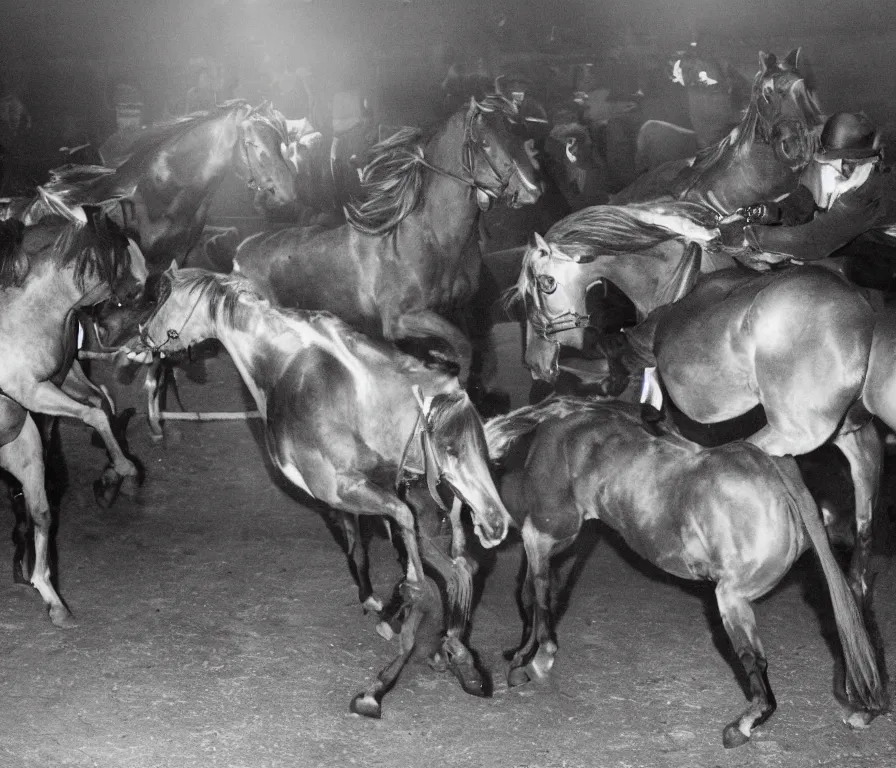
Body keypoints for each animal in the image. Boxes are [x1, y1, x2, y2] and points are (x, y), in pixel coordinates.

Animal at [0, 189, 145, 628]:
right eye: (120, 252)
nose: (151, 287)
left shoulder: (39, 405)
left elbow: (101, 407)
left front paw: (118, 475)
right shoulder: (32, 390)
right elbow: (96, 413)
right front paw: (125, 470)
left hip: (20, 450)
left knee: (40, 511)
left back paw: (51, 598)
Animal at [121, 266, 512, 720]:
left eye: (160, 298)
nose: (138, 342)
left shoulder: (343, 493)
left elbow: (403, 574)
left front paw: (381, 671)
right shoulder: (365, 501)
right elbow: (373, 555)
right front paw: (396, 619)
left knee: (449, 575)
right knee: (461, 571)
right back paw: (455, 654)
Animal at [231, 95, 540, 402]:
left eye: (517, 132)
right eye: (484, 142)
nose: (531, 190)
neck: (435, 241)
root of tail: (241, 252)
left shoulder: (456, 308)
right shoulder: (400, 320)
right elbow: (461, 347)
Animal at [486, 400, 884, 748]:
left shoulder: (542, 533)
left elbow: (535, 592)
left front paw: (534, 658)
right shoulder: (547, 536)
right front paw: (526, 656)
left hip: (722, 593)